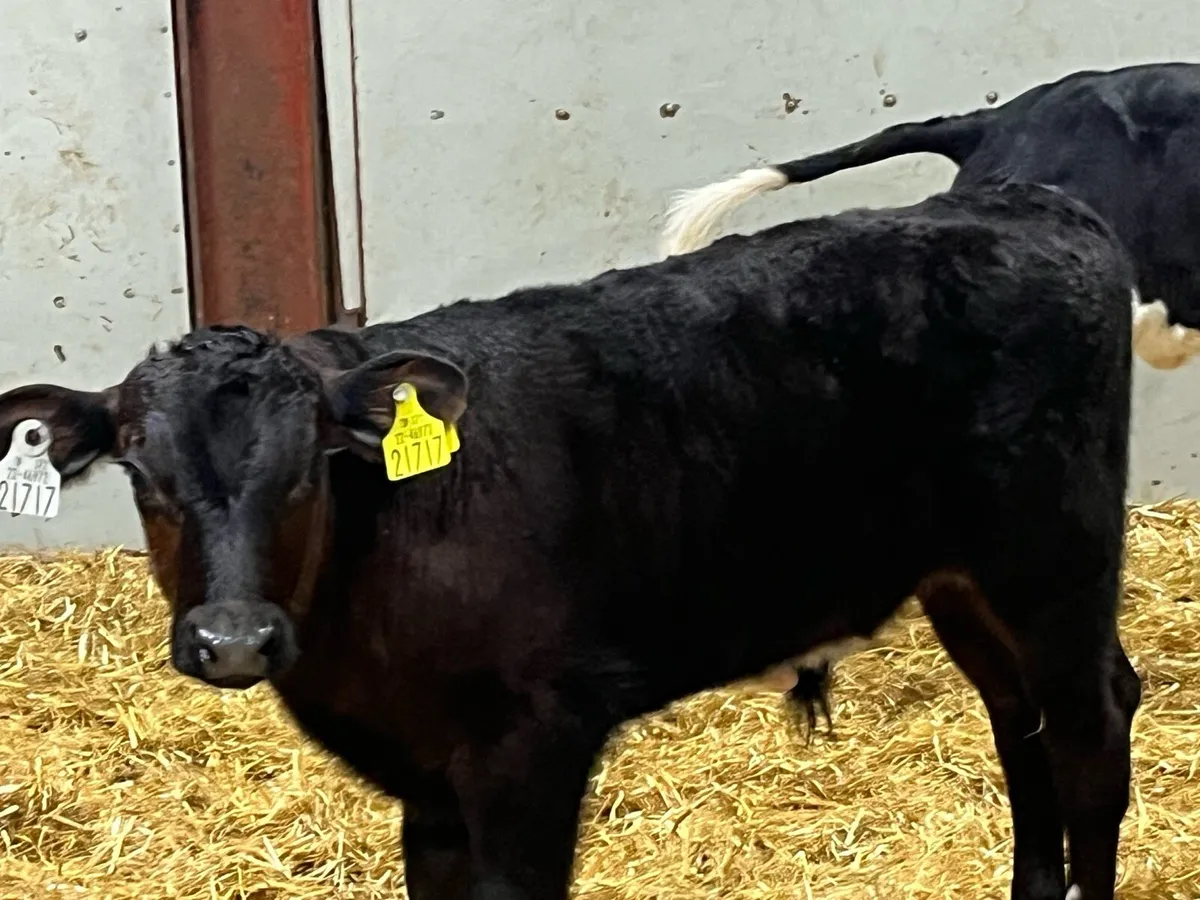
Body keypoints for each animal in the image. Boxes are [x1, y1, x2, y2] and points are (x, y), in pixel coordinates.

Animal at [0, 182, 1139, 900]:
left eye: (308, 467)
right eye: (143, 474)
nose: (233, 640)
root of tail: (1024, 203)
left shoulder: (536, 744)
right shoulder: (429, 782)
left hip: (1055, 563)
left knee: (1090, 728)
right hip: (965, 578)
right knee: (1018, 720)